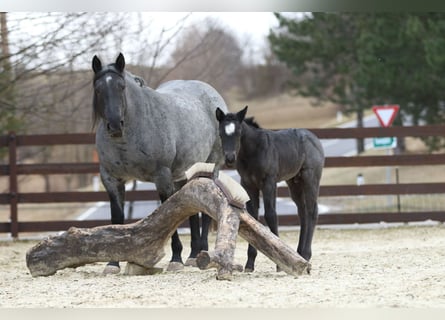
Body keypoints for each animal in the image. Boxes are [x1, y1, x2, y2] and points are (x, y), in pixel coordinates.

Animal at [92, 53, 227, 272]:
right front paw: (113, 263)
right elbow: (117, 218)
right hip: (184, 174)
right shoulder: (111, 180)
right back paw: (193, 255)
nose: (114, 125)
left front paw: (175, 259)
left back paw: (201, 254)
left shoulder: (162, 177)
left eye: (121, 86)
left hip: (211, 167)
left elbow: (168, 215)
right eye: (98, 88)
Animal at [214, 106, 322, 272]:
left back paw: (305, 254)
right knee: (302, 213)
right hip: (294, 183)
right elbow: (253, 216)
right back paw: (299, 255)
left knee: (312, 211)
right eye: (221, 134)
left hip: (310, 179)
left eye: (238, 132)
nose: (230, 158)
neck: (254, 151)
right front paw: (250, 263)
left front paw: (279, 263)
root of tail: (314, 139)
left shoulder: (269, 183)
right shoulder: (248, 184)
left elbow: (271, 215)